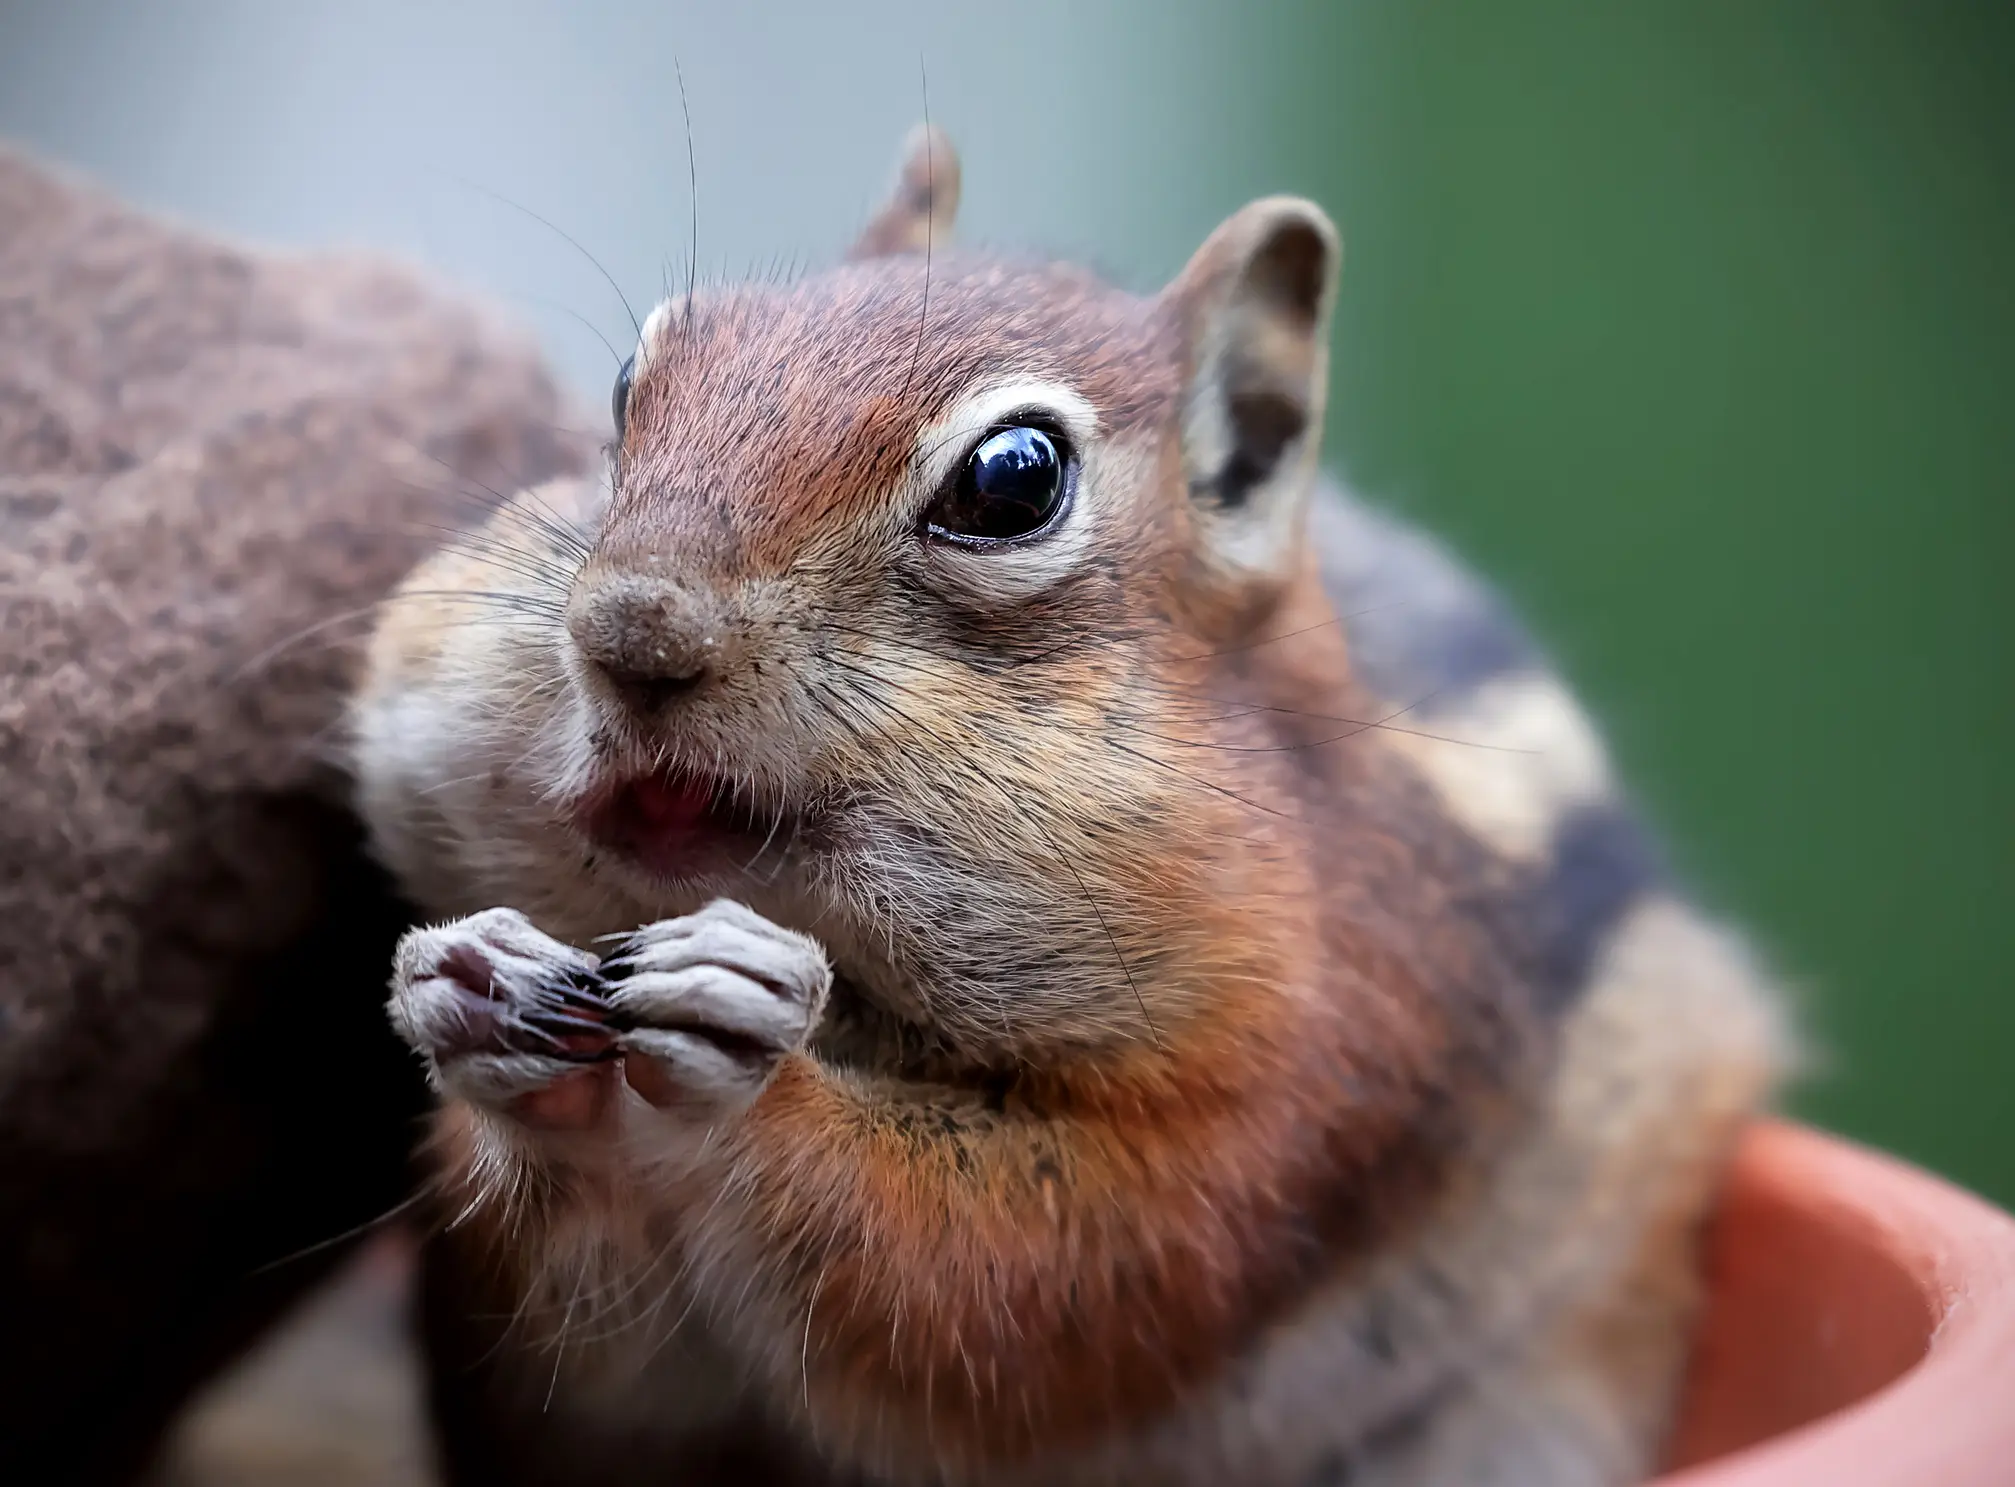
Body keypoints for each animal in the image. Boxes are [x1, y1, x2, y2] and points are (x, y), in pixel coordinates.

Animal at [351, 125, 1790, 1486]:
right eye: (629, 383)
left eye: (1012, 478)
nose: (630, 627)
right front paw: (465, 989)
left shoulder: (1317, 1066)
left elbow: (1047, 1270)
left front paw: (746, 1061)